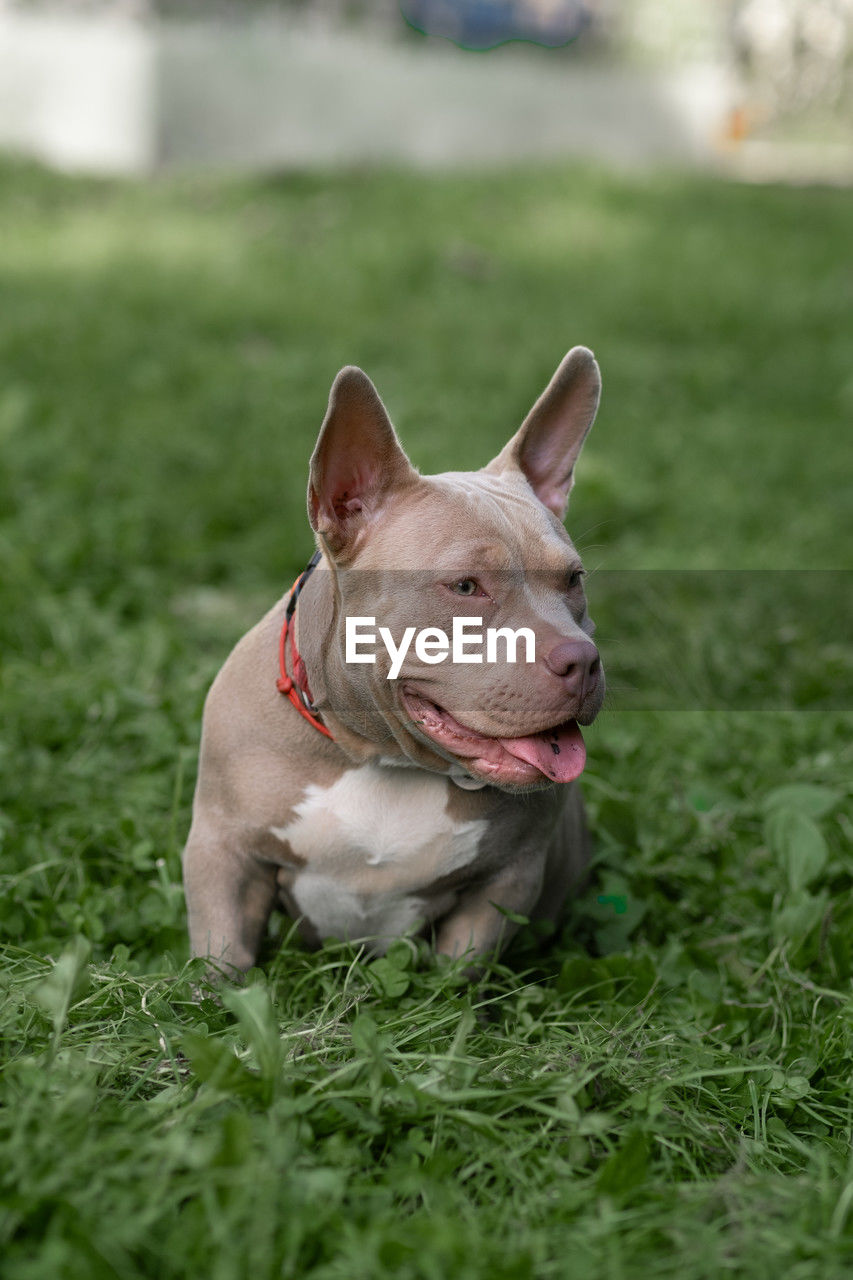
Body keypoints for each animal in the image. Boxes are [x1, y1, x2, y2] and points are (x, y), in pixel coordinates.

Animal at [183, 345, 601, 972]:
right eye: (466, 586)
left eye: (574, 579)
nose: (583, 660)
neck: (386, 760)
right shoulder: (222, 853)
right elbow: (222, 960)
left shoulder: (507, 880)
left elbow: (459, 972)